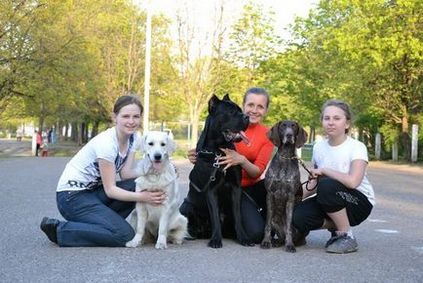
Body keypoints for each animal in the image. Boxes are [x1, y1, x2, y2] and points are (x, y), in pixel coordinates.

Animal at [185, 95, 252, 248]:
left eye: (241, 110)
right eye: (231, 112)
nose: (247, 117)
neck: (219, 150)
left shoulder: (235, 187)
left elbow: (237, 215)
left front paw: (243, 237)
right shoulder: (211, 189)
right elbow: (215, 216)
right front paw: (216, 240)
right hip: (186, 206)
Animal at [258, 120, 308, 253]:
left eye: (294, 126)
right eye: (283, 126)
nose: (289, 135)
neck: (285, 157)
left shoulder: (291, 197)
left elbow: (289, 228)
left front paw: (289, 245)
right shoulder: (270, 194)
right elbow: (267, 225)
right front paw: (266, 242)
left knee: (295, 237)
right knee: (280, 236)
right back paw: (275, 242)